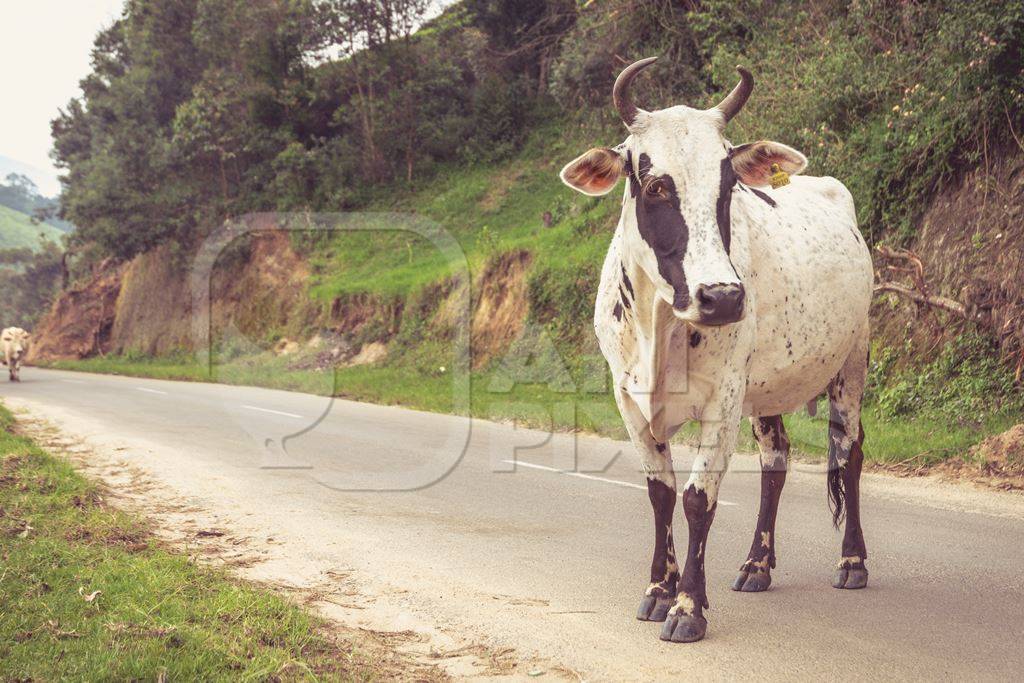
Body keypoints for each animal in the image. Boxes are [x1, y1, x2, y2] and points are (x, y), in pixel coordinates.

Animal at [561, 57, 872, 643]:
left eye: (729, 185)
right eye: (656, 185)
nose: (723, 297)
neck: (660, 326)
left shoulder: (722, 401)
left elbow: (697, 498)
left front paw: (688, 608)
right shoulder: (628, 400)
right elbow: (660, 491)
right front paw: (658, 590)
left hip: (852, 362)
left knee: (848, 453)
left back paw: (852, 562)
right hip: (768, 389)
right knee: (776, 460)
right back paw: (756, 565)